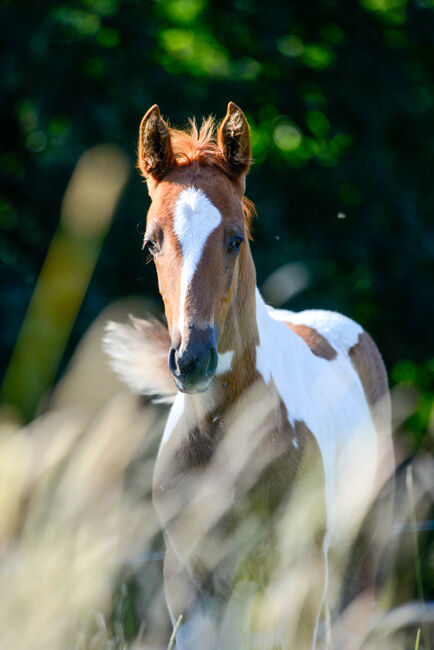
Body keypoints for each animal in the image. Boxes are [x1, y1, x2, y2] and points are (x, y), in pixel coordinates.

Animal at [105, 104, 394, 644]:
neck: (220, 431)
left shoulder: (298, 572)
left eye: (235, 239)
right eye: (152, 243)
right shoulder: (187, 582)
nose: (192, 359)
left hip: (358, 551)